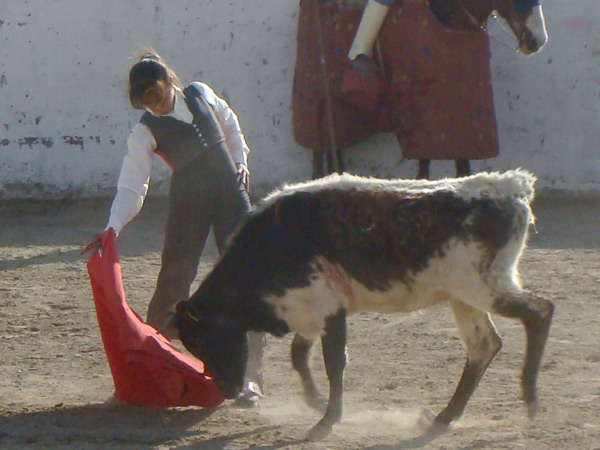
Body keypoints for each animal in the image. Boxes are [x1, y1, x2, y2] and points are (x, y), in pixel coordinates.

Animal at [172, 169, 552, 440]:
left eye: (205, 340)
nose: (226, 390)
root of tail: (512, 188)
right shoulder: (308, 310)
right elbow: (300, 356)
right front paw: (316, 402)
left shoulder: (326, 307)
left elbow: (333, 361)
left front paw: (327, 419)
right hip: (464, 298)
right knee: (483, 346)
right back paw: (442, 418)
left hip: (486, 288)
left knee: (539, 312)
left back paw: (532, 400)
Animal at [290, 0, 548, 179]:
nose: (537, 39)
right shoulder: (423, 125)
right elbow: (424, 172)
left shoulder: (461, 129)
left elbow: (462, 170)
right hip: (314, 102)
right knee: (317, 156)